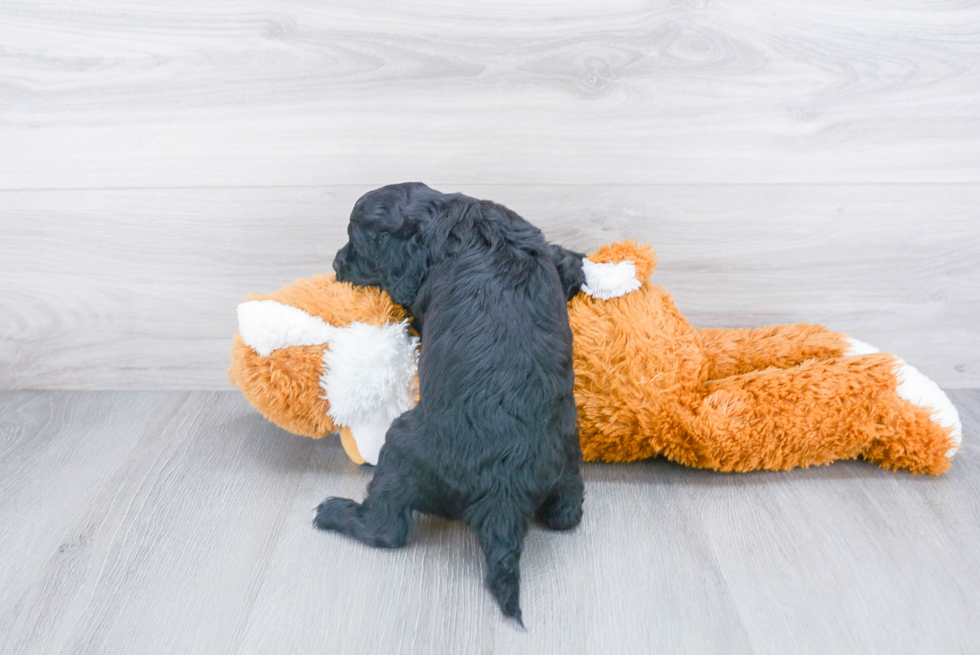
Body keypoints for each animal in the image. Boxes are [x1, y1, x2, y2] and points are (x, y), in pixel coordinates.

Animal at [318, 182, 584, 624]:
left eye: (358, 241)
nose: (337, 262)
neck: (448, 216)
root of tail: (504, 496)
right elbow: (562, 259)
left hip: (401, 446)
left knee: (387, 529)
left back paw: (334, 512)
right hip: (567, 458)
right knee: (568, 513)